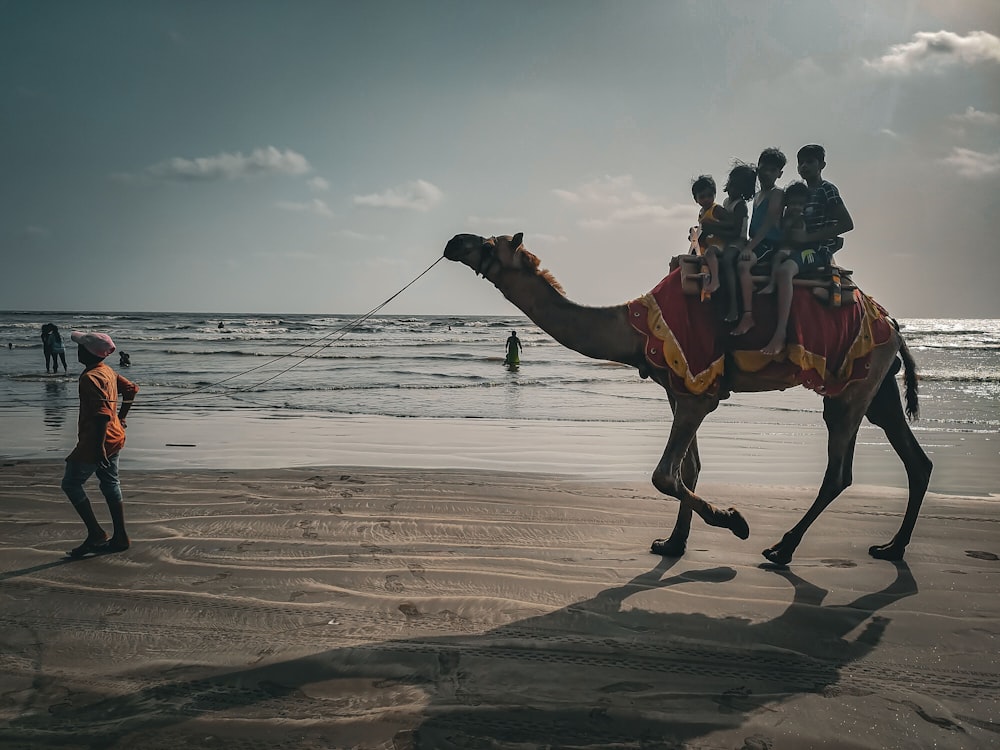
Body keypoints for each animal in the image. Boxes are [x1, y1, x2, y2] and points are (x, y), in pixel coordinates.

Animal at [442, 235, 932, 564]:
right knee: (915, 459)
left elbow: (664, 474)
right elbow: (688, 468)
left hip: (852, 389)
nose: (454, 241)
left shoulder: (699, 388)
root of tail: (893, 324)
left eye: (489, 242)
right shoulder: (678, 388)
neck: (634, 328)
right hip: (879, 385)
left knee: (839, 471)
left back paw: (781, 548)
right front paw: (673, 542)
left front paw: (733, 520)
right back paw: (891, 547)